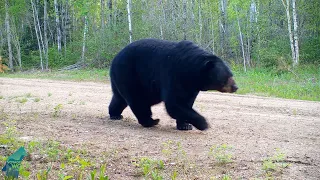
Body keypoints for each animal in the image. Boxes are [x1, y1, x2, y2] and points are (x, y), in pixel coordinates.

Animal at [109, 38, 238, 131]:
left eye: (231, 74)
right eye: (226, 77)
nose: (235, 87)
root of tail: (115, 58)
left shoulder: (191, 86)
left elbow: (187, 102)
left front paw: (185, 125)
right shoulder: (173, 74)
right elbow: (174, 103)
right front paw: (203, 123)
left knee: (119, 98)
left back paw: (115, 114)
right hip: (129, 74)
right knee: (138, 100)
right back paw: (151, 121)